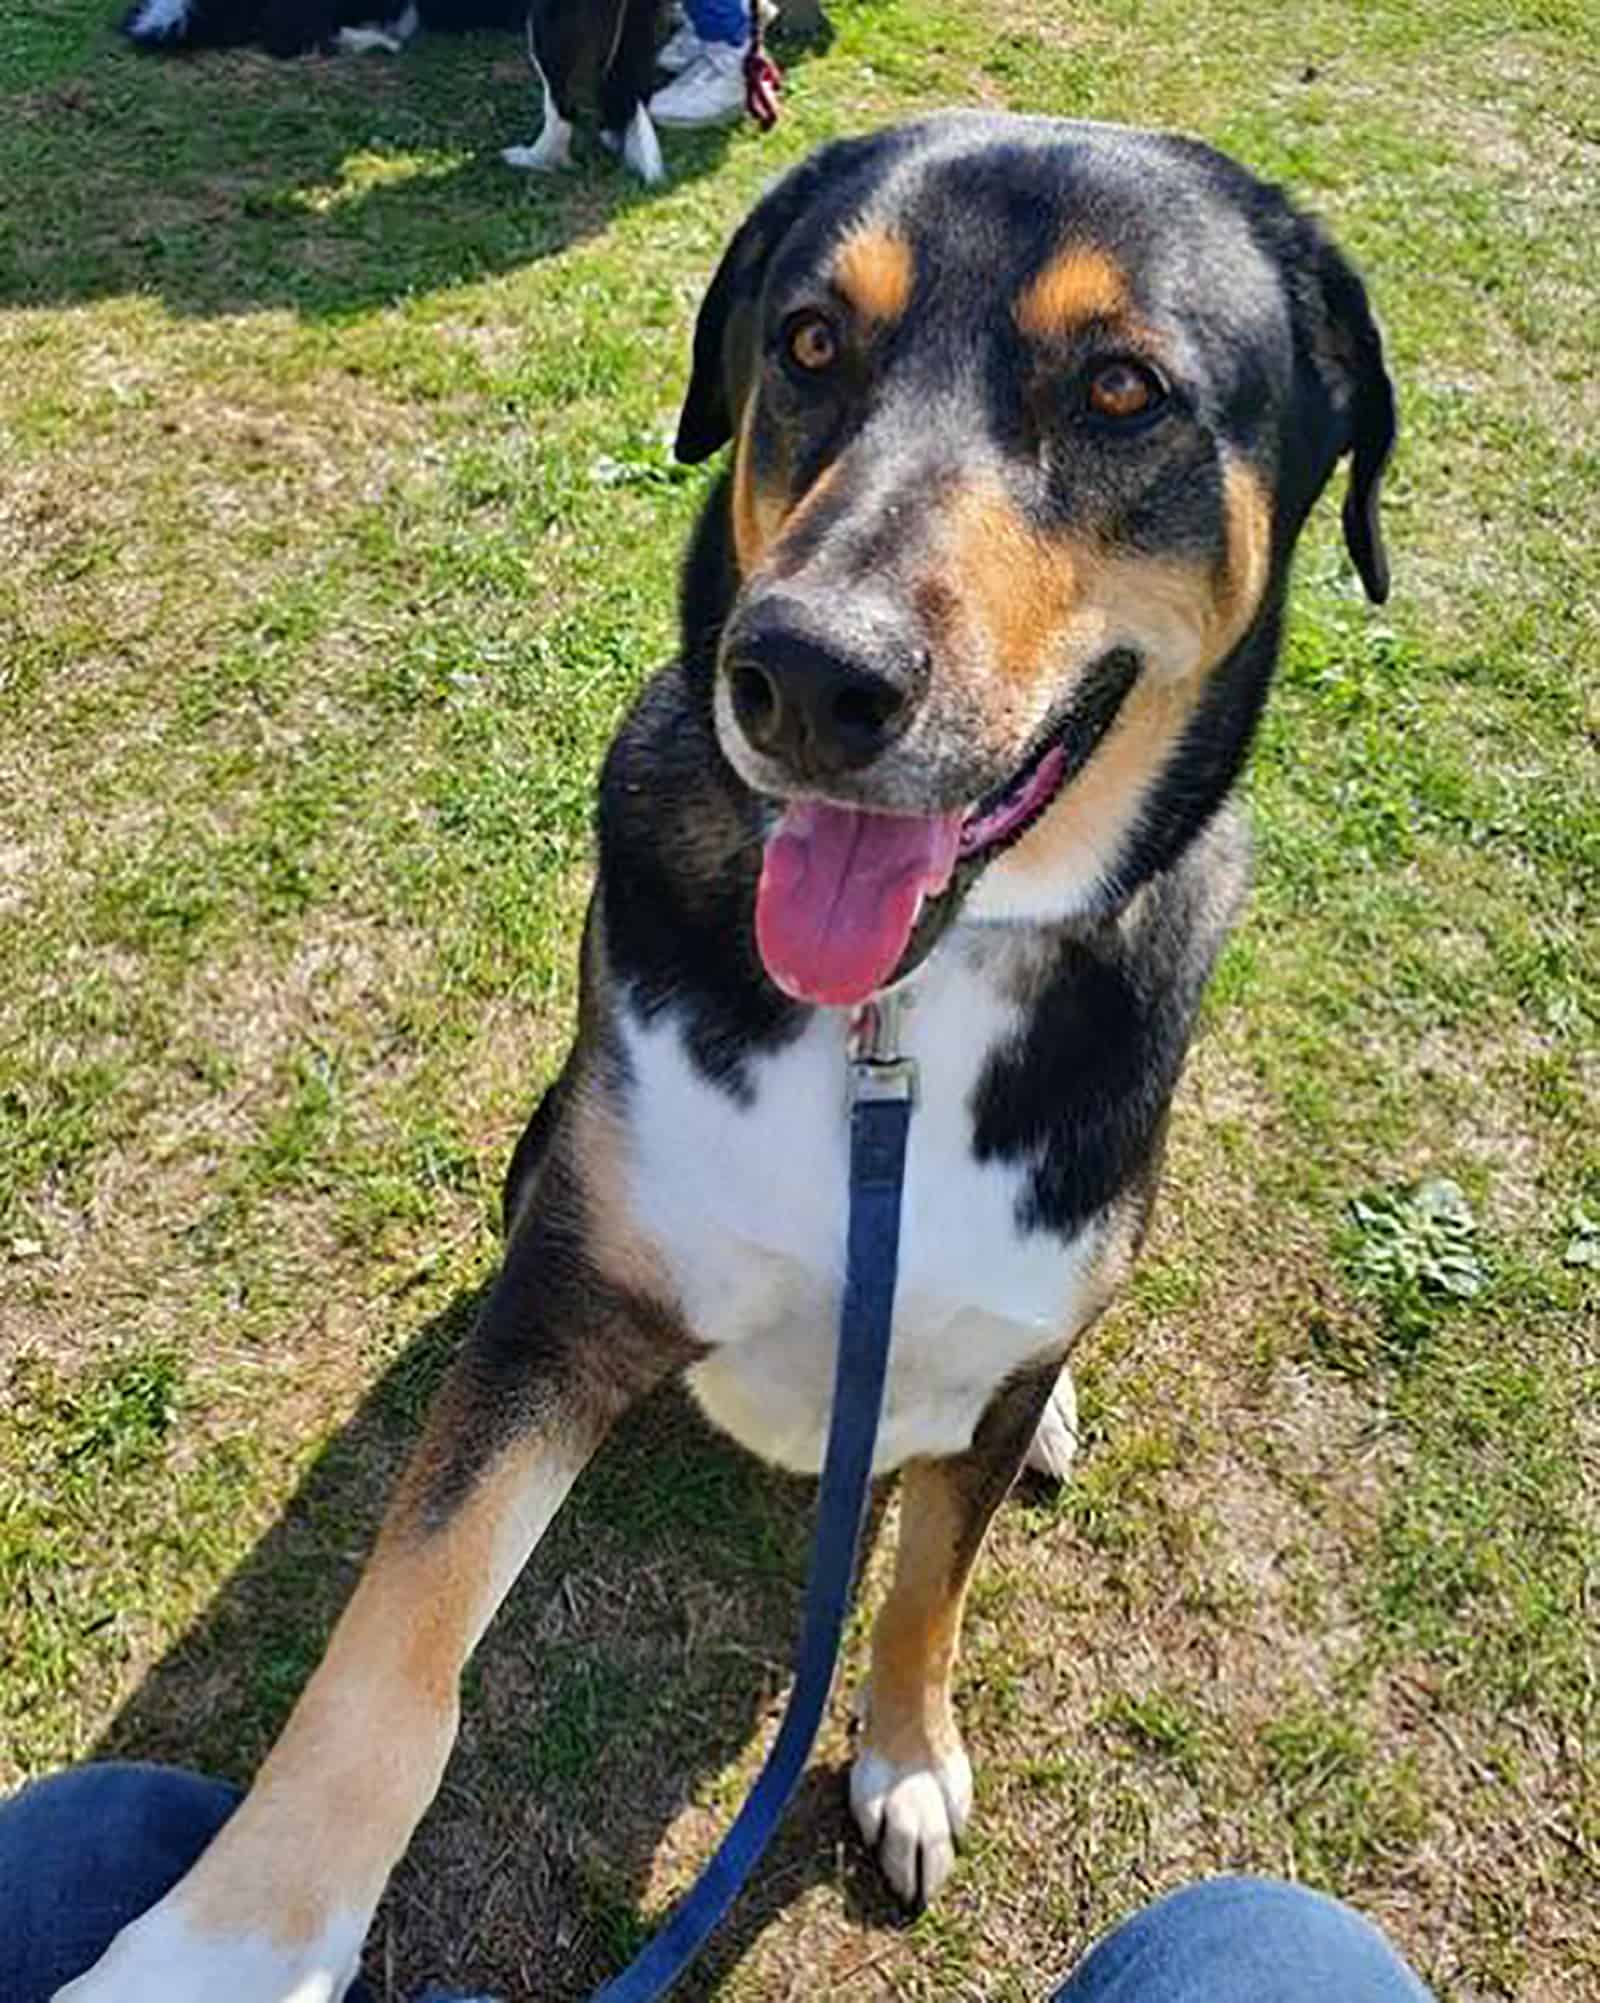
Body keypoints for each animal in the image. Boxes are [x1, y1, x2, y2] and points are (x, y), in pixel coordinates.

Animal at [56, 113, 1393, 2003]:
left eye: (1123, 386)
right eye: (812, 340)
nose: (808, 675)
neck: (899, 1016)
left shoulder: (980, 1353)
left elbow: (926, 1582)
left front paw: (903, 1756)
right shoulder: (563, 1303)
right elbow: (397, 1648)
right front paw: (226, 1940)